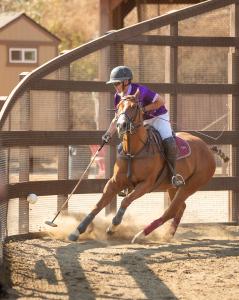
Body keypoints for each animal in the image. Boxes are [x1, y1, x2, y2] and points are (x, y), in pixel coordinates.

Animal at [68, 97, 224, 243]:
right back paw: (167, 235)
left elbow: (126, 201)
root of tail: (207, 148)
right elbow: (98, 204)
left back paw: (140, 235)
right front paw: (76, 231)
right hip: (172, 187)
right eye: (118, 107)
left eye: (134, 107)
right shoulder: (114, 181)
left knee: (171, 210)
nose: (121, 125)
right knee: (180, 208)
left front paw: (113, 227)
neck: (134, 151)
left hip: (192, 185)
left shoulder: (145, 185)